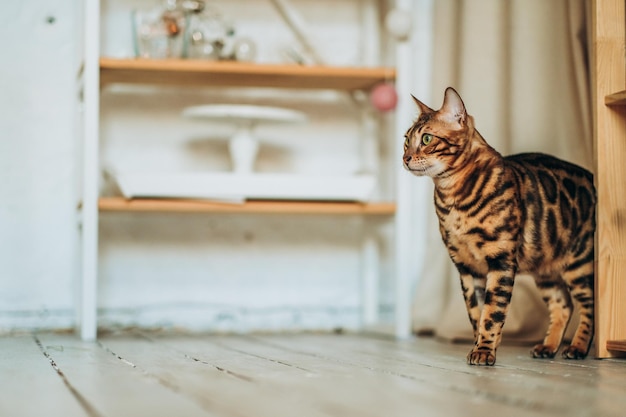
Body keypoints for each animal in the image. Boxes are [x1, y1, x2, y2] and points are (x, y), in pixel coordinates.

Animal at [402, 87, 592, 364]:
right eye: (406, 140)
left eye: (426, 139)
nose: (404, 158)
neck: (452, 198)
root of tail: (591, 177)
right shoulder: (467, 268)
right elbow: (476, 312)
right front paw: (480, 344)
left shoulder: (500, 259)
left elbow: (492, 311)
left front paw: (484, 350)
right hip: (545, 269)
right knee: (563, 305)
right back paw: (548, 347)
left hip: (579, 262)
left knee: (588, 306)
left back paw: (577, 348)